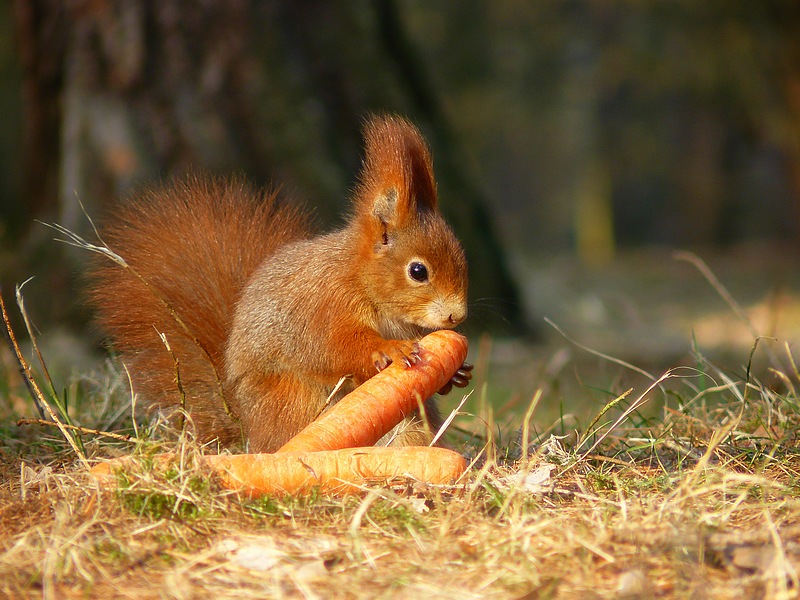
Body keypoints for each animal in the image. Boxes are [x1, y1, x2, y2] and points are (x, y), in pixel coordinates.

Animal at [89, 115, 468, 450]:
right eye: (418, 271)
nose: (457, 316)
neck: (361, 280)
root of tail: (247, 428)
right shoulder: (324, 305)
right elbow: (334, 347)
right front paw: (389, 349)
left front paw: (456, 374)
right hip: (293, 401)